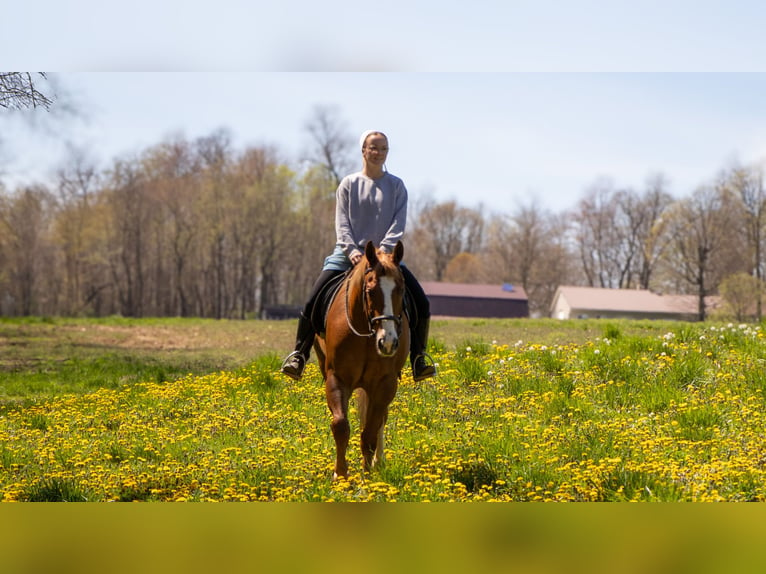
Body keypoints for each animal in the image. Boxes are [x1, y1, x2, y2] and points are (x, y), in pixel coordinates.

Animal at [314, 240, 412, 482]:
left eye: (401, 290)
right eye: (370, 291)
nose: (388, 342)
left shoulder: (385, 383)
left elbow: (369, 433)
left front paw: (367, 476)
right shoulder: (337, 378)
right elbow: (341, 426)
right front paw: (340, 475)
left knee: (380, 420)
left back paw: (379, 462)